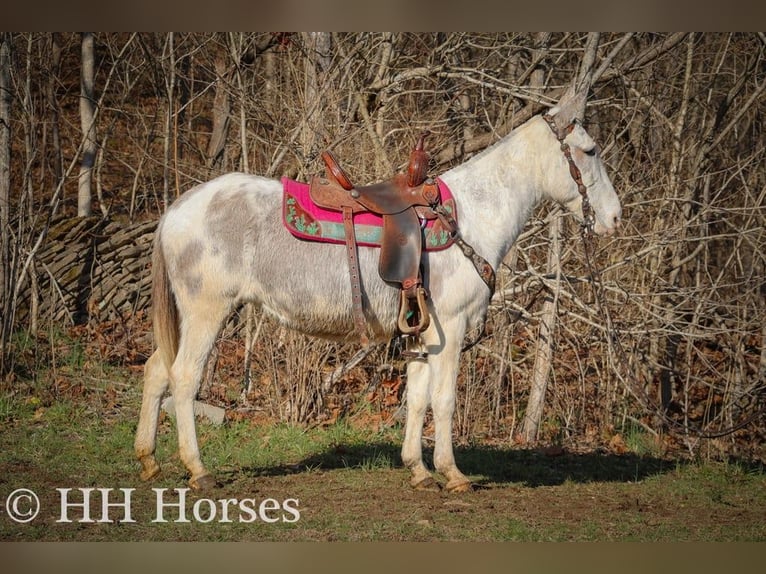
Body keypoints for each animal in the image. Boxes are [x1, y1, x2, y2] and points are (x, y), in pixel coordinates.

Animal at [134, 97, 624, 492]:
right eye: (590, 151)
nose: (615, 218)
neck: (470, 216)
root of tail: (176, 210)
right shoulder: (451, 328)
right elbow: (444, 401)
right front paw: (453, 474)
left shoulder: (424, 334)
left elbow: (418, 398)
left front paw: (420, 471)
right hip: (206, 312)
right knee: (184, 378)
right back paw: (198, 470)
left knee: (156, 370)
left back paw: (149, 460)